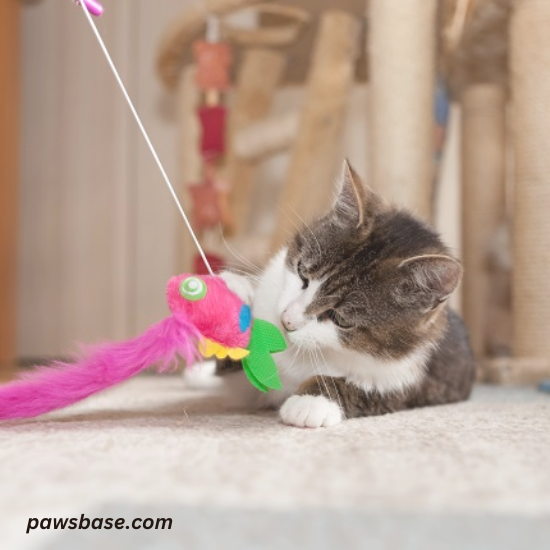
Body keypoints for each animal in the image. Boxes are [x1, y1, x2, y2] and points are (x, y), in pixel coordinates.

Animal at [218, 162, 476, 430]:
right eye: (302, 272)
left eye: (340, 319)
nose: (286, 321)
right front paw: (236, 290)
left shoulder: (410, 377)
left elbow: (368, 392)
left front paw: (311, 401)